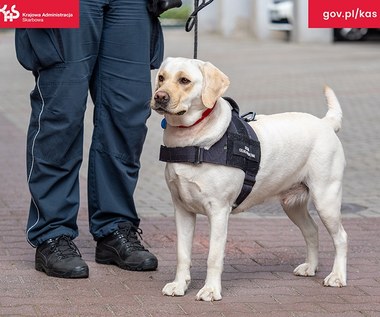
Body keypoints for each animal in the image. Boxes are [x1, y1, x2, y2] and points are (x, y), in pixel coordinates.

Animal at [151, 57, 348, 302]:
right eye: (161, 78)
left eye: (184, 80)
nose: (159, 96)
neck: (192, 142)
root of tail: (325, 123)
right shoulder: (182, 209)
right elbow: (182, 254)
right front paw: (179, 285)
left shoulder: (219, 211)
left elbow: (213, 256)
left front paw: (210, 290)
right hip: (292, 204)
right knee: (312, 230)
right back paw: (310, 267)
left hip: (326, 199)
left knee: (341, 237)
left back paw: (337, 277)